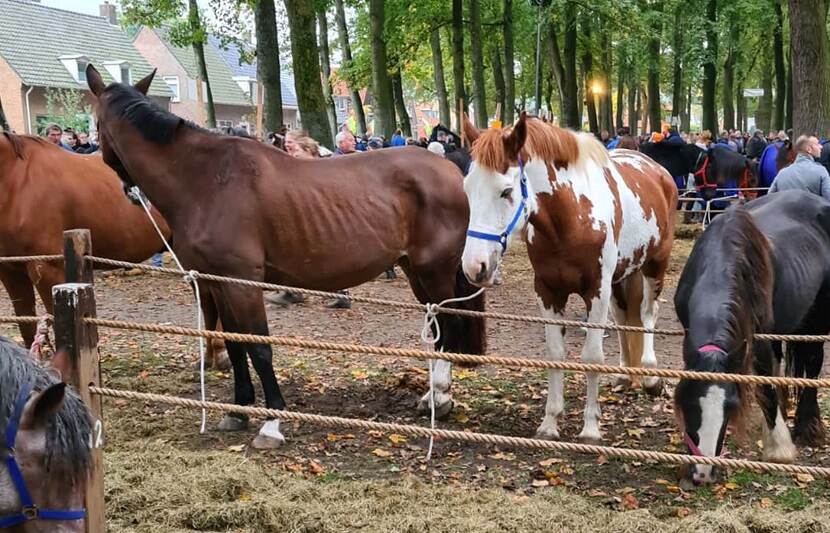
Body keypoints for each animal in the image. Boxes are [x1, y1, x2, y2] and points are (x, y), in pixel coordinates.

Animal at [86, 65, 488, 448]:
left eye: (95, 124)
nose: (127, 193)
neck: (206, 181)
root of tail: (452, 171)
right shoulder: (218, 283)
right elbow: (235, 345)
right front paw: (238, 410)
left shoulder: (243, 284)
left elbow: (260, 348)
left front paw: (271, 422)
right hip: (415, 272)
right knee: (437, 327)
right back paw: (431, 397)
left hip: (434, 270)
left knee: (448, 326)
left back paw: (440, 399)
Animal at [458, 114, 680, 442]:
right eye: (468, 189)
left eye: (506, 191)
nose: (475, 266)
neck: (570, 219)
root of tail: (657, 170)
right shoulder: (548, 291)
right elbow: (555, 353)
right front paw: (550, 422)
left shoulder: (596, 291)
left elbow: (592, 356)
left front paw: (590, 427)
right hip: (621, 277)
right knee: (624, 318)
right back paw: (625, 374)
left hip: (655, 265)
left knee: (648, 313)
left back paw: (650, 376)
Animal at [676, 189, 830, 484]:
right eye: (688, 403)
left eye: (730, 408)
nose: (703, 474)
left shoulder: (758, 342)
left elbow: (766, 387)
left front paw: (779, 450)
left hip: (815, 322)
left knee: (812, 365)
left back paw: (807, 429)